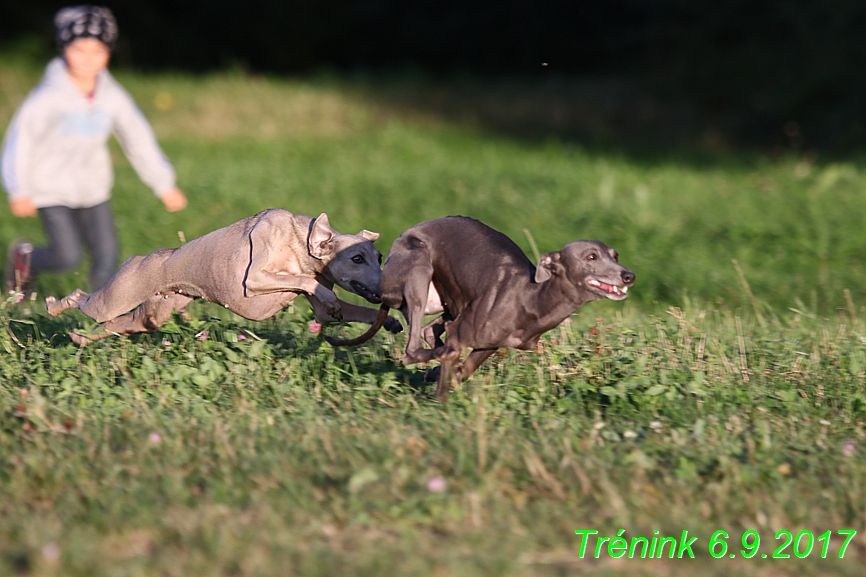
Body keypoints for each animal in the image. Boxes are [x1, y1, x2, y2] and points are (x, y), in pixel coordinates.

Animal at [326, 216, 636, 400]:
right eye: (591, 256)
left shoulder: (491, 343)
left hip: (446, 300)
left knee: (430, 330)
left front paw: (438, 374)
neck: (530, 298)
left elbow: (463, 371)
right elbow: (451, 370)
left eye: (615, 255)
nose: (628, 276)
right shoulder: (463, 334)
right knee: (413, 348)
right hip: (419, 269)